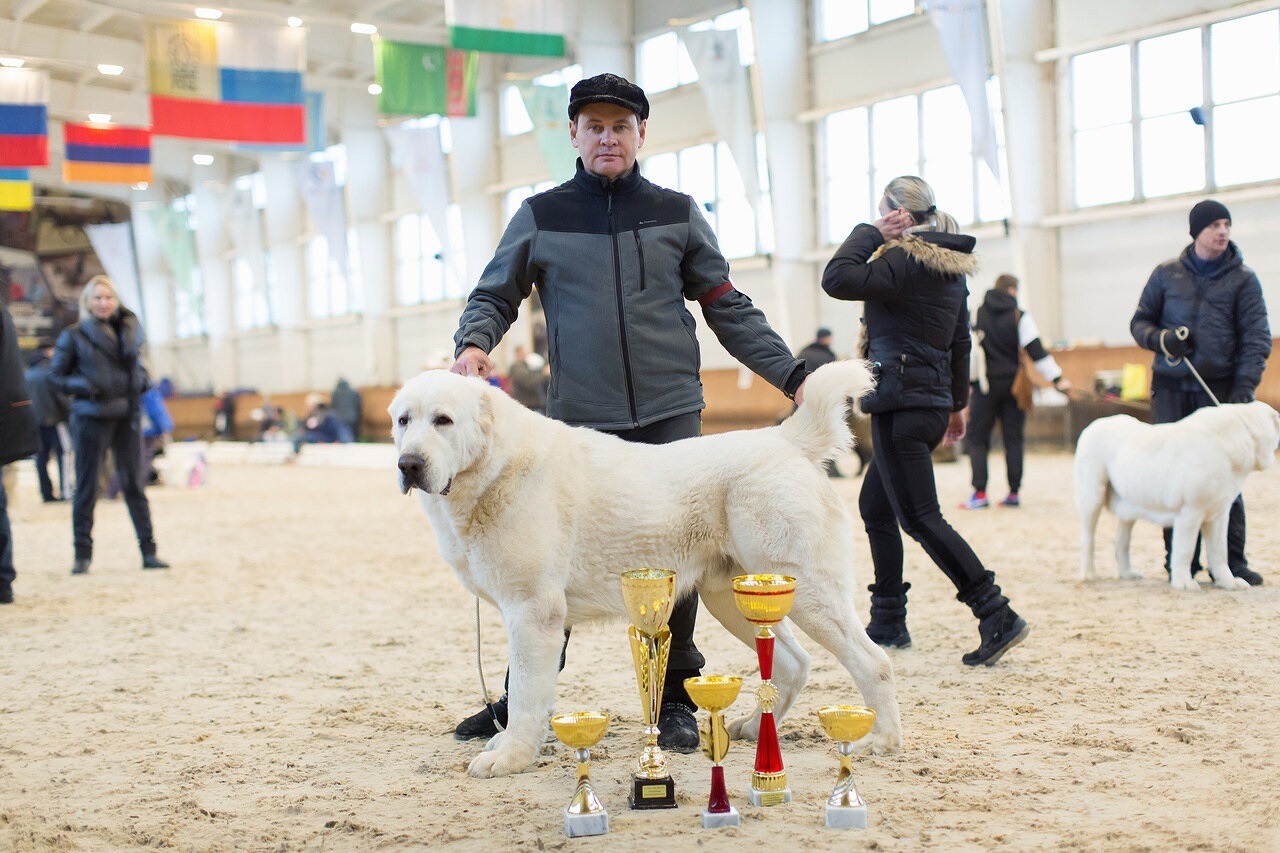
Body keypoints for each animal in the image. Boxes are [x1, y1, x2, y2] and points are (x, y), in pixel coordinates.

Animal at [390, 360, 903, 778]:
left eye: (443, 421)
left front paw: (511, 757)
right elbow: (524, 691)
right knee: (795, 663)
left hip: (808, 592)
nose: (408, 464)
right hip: (739, 597)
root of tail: (784, 439)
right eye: (403, 421)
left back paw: (882, 740)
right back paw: (758, 731)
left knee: (872, 662)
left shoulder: (533, 612)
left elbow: (525, 696)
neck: (495, 467)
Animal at [1074, 401, 1280, 591]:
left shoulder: (1219, 515)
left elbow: (1220, 552)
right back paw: (1088, 574)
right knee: (1088, 537)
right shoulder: (1190, 512)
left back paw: (1128, 573)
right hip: (1092, 497)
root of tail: (1094, 425)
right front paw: (1184, 583)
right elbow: (1185, 550)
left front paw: (1228, 582)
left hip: (1129, 505)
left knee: (1121, 541)